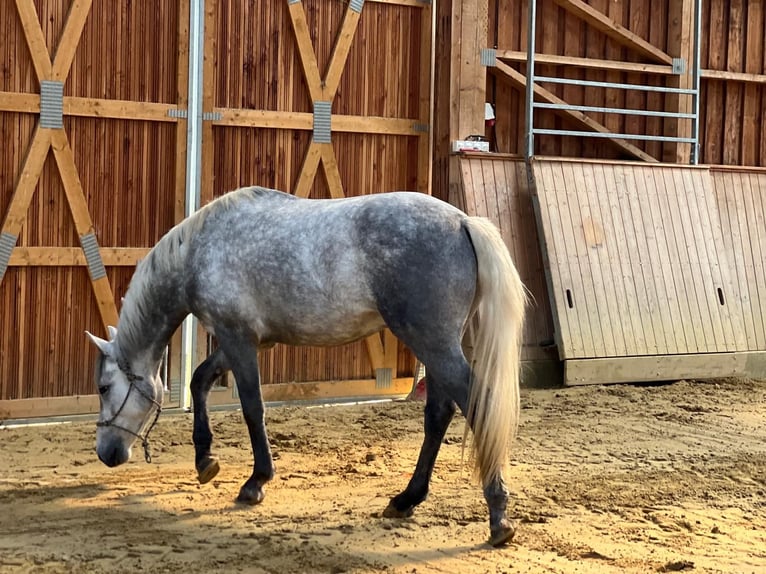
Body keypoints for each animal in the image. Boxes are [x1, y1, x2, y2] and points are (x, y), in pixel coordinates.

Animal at [85, 189, 528, 548]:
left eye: (104, 387)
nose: (106, 453)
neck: (198, 250)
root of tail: (463, 221)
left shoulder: (237, 337)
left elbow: (252, 407)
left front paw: (255, 482)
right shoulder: (247, 340)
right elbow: (199, 381)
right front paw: (205, 461)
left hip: (432, 343)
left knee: (475, 406)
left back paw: (498, 518)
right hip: (435, 347)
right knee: (438, 414)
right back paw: (406, 500)